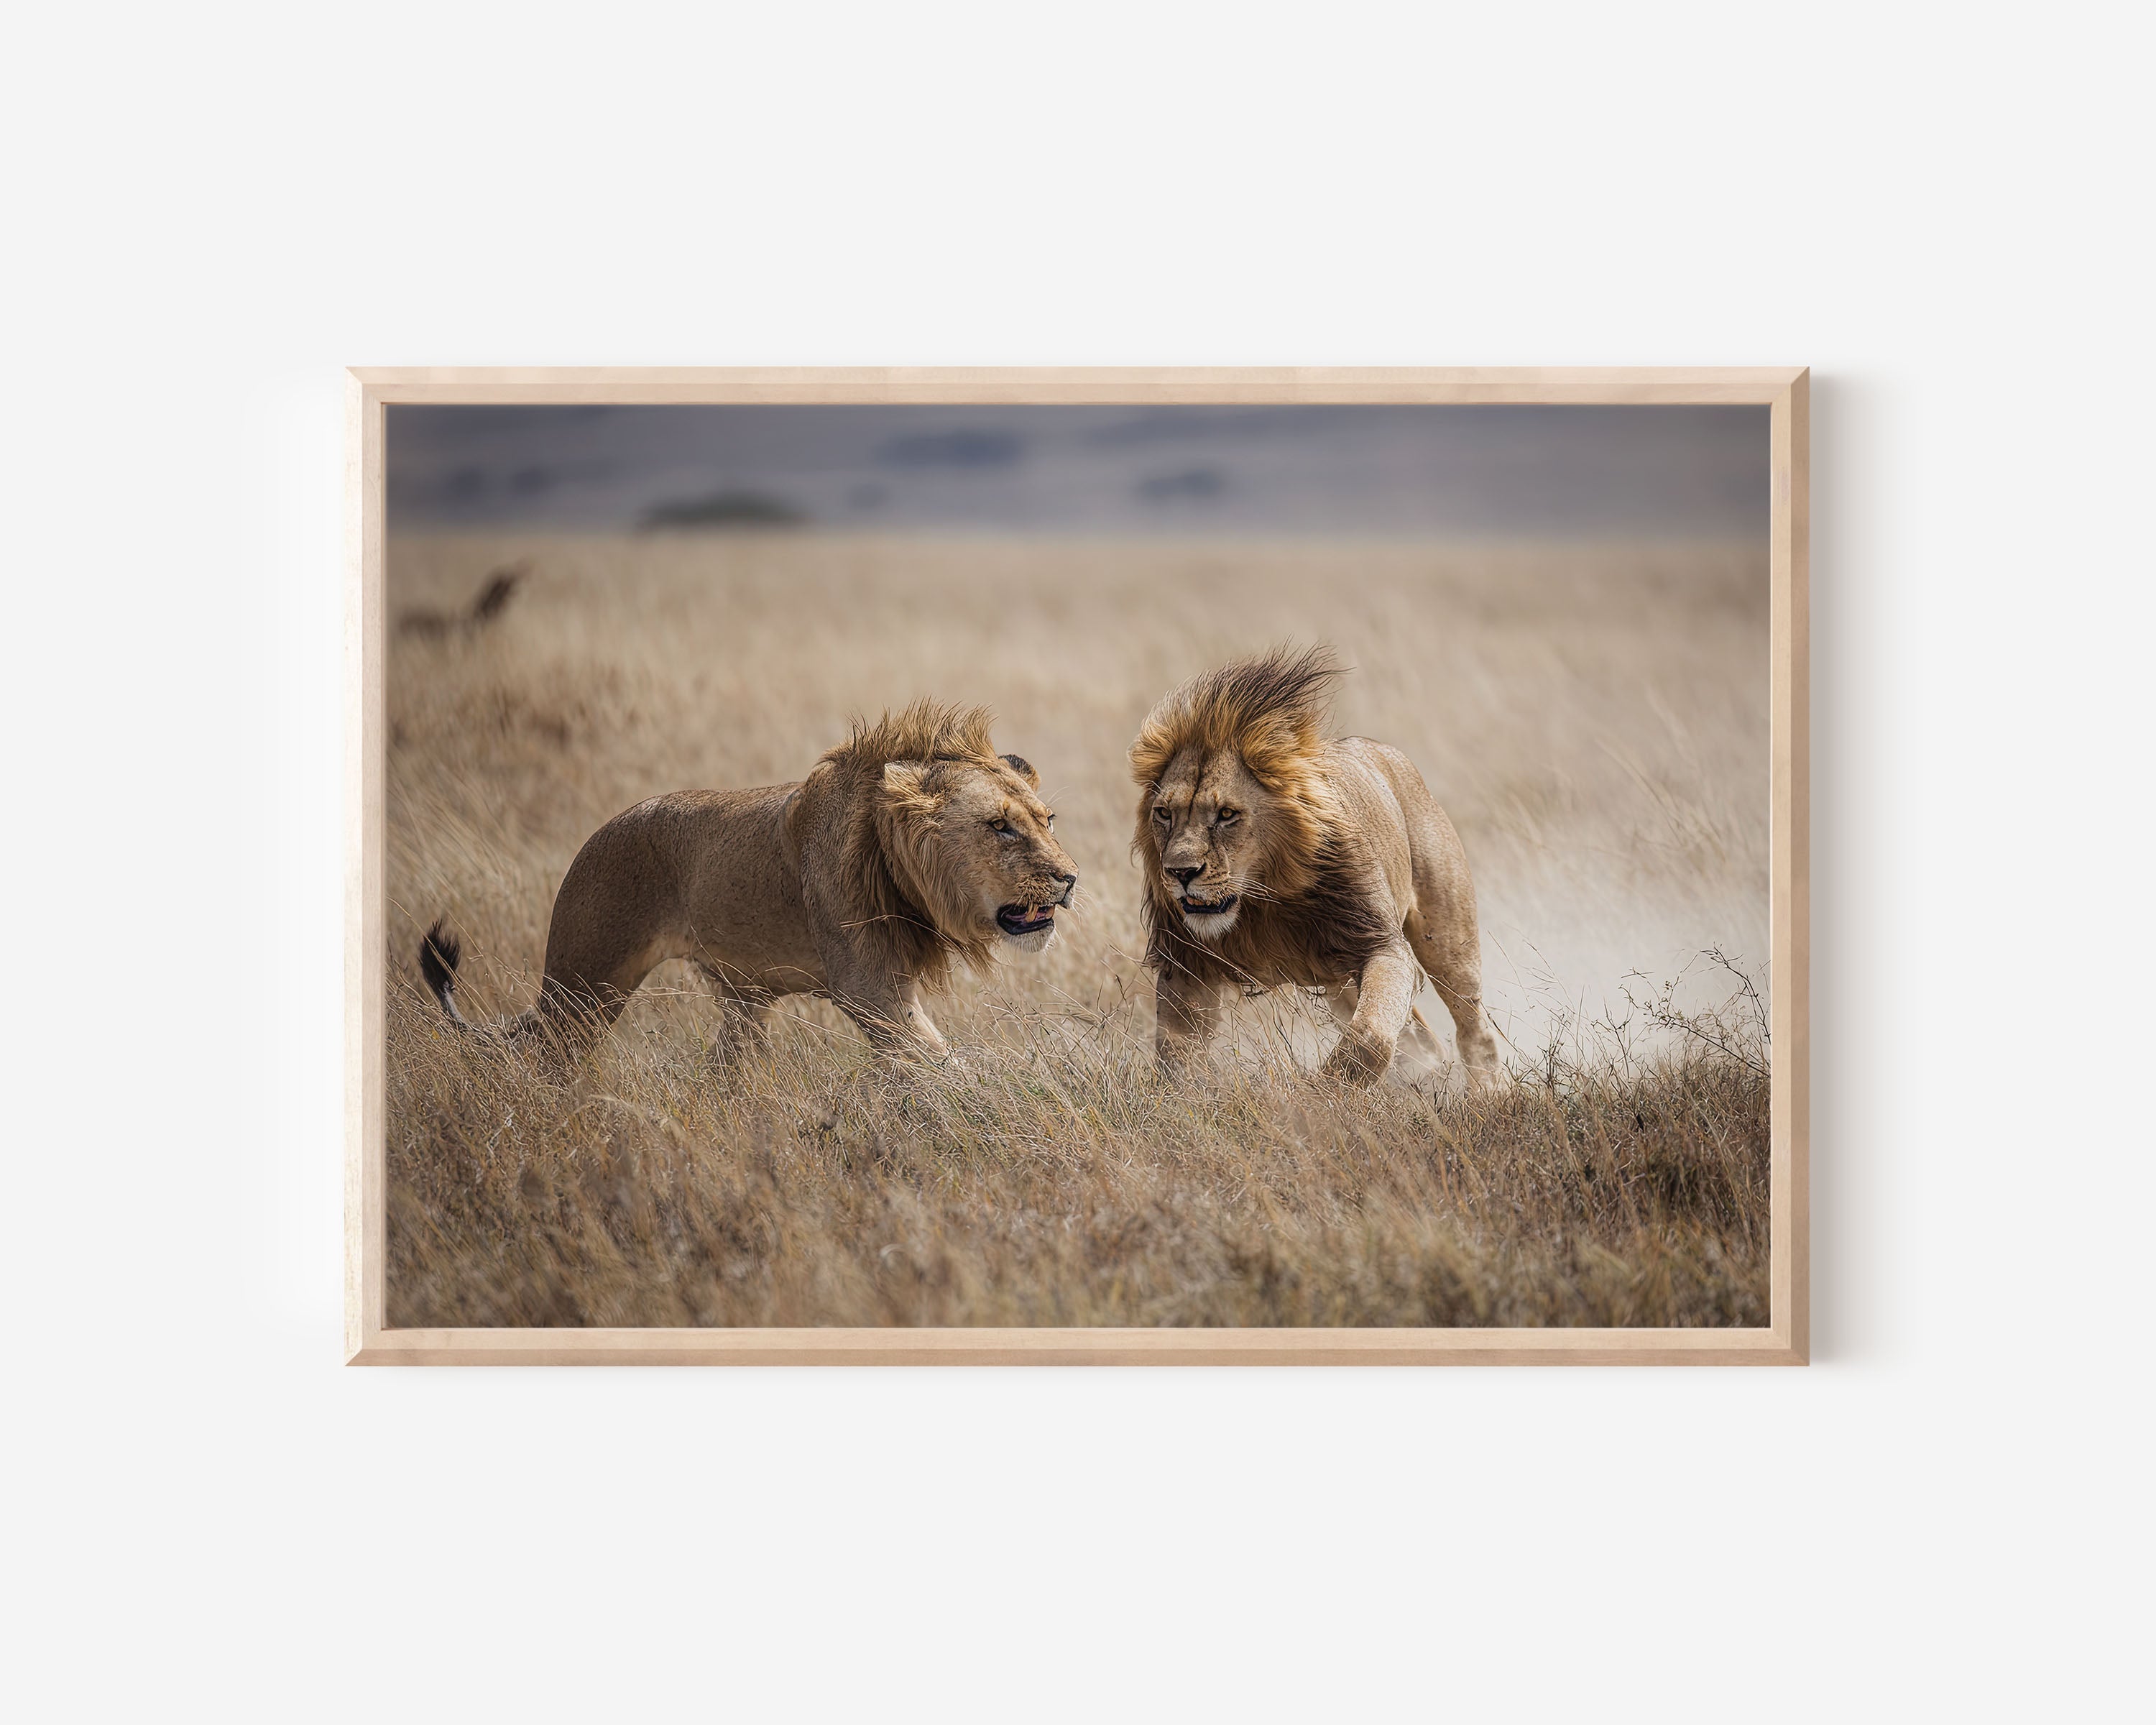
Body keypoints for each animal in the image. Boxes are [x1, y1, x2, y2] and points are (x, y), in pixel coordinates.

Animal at [419, 700, 1079, 1063]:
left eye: (1047, 821)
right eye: (1000, 827)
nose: (1070, 880)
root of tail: (595, 837)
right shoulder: (869, 991)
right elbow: (943, 1067)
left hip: (743, 1002)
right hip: (583, 987)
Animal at [1129, 645, 1502, 1087]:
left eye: (1226, 814)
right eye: (1164, 814)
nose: (1180, 873)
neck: (1263, 900)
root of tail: (1389, 753)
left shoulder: (1382, 945)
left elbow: (1371, 1035)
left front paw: (1325, 1092)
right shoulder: (1187, 964)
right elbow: (1176, 1053)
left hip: (1446, 941)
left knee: (1472, 1026)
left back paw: (1486, 1090)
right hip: (1338, 977)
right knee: (1421, 1036)